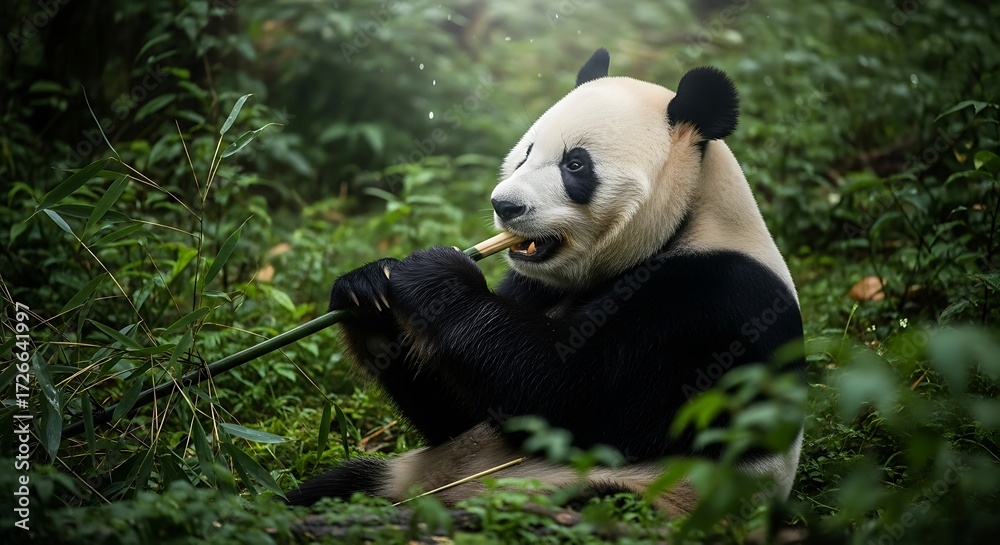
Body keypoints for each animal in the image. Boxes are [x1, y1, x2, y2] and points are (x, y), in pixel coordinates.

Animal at [284, 48, 804, 515]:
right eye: (526, 154)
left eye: (575, 164)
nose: (505, 206)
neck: (685, 223)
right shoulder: (536, 287)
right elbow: (458, 412)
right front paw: (366, 289)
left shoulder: (714, 304)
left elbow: (574, 398)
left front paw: (437, 274)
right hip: (403, 473)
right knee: (339, 485)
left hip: (649, 492)